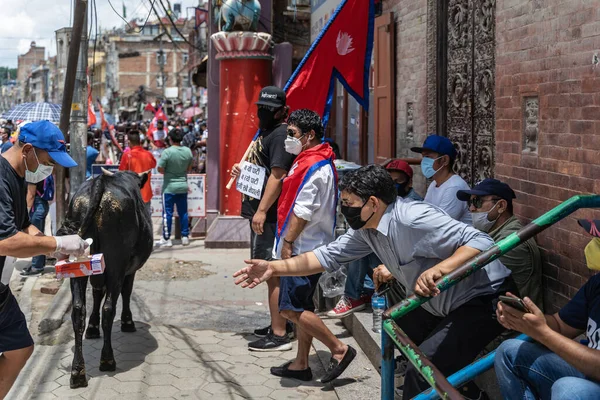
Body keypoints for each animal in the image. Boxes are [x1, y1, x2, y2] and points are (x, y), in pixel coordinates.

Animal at [57, 169, 154, 388]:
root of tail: (100, 183)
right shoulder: (128, 269)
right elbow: (126, 292)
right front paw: (127, 322)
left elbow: (96, 293)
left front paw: (92, 328)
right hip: (116, 263)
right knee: (109, 307)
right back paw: (107, 360)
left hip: (78, 267)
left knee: (78, 310)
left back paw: (77, 372)